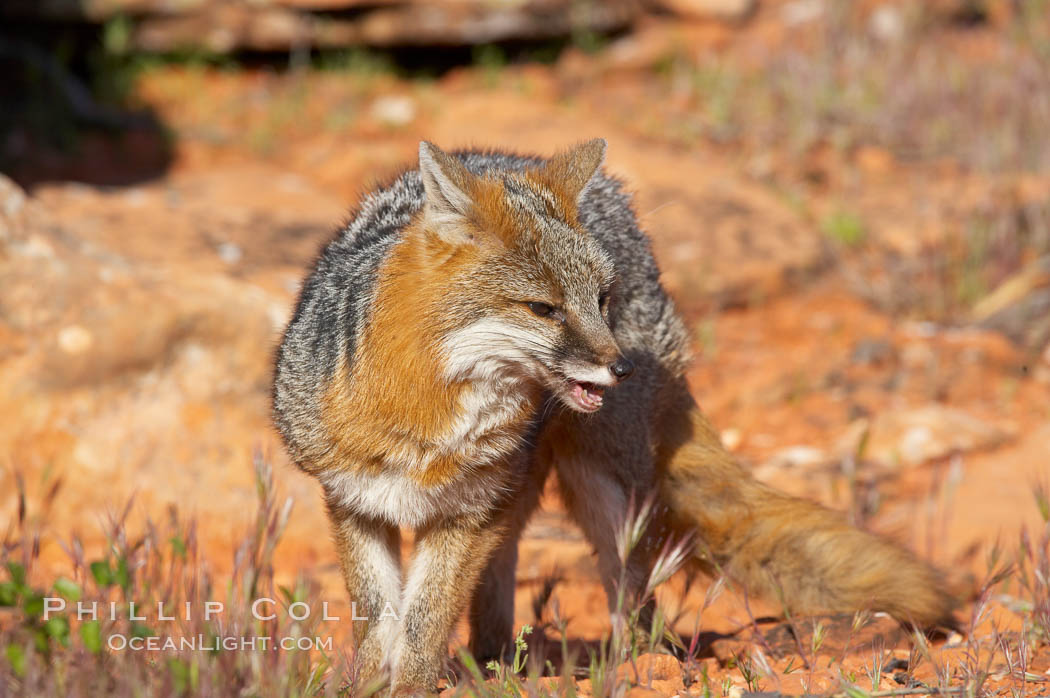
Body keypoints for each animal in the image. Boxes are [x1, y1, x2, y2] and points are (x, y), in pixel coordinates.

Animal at [273, 140, 961, 692]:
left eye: (599, 300)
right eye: (544, 308)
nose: (624, 366)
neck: (428, 414)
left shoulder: (467, 512)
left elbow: (422, 624)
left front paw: (410, 686)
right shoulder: (356, 504)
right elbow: (379, 622)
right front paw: (369, 684)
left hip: (601, 493)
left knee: (634, 599)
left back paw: (631, 669)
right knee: (504, 574)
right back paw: (491, 662)